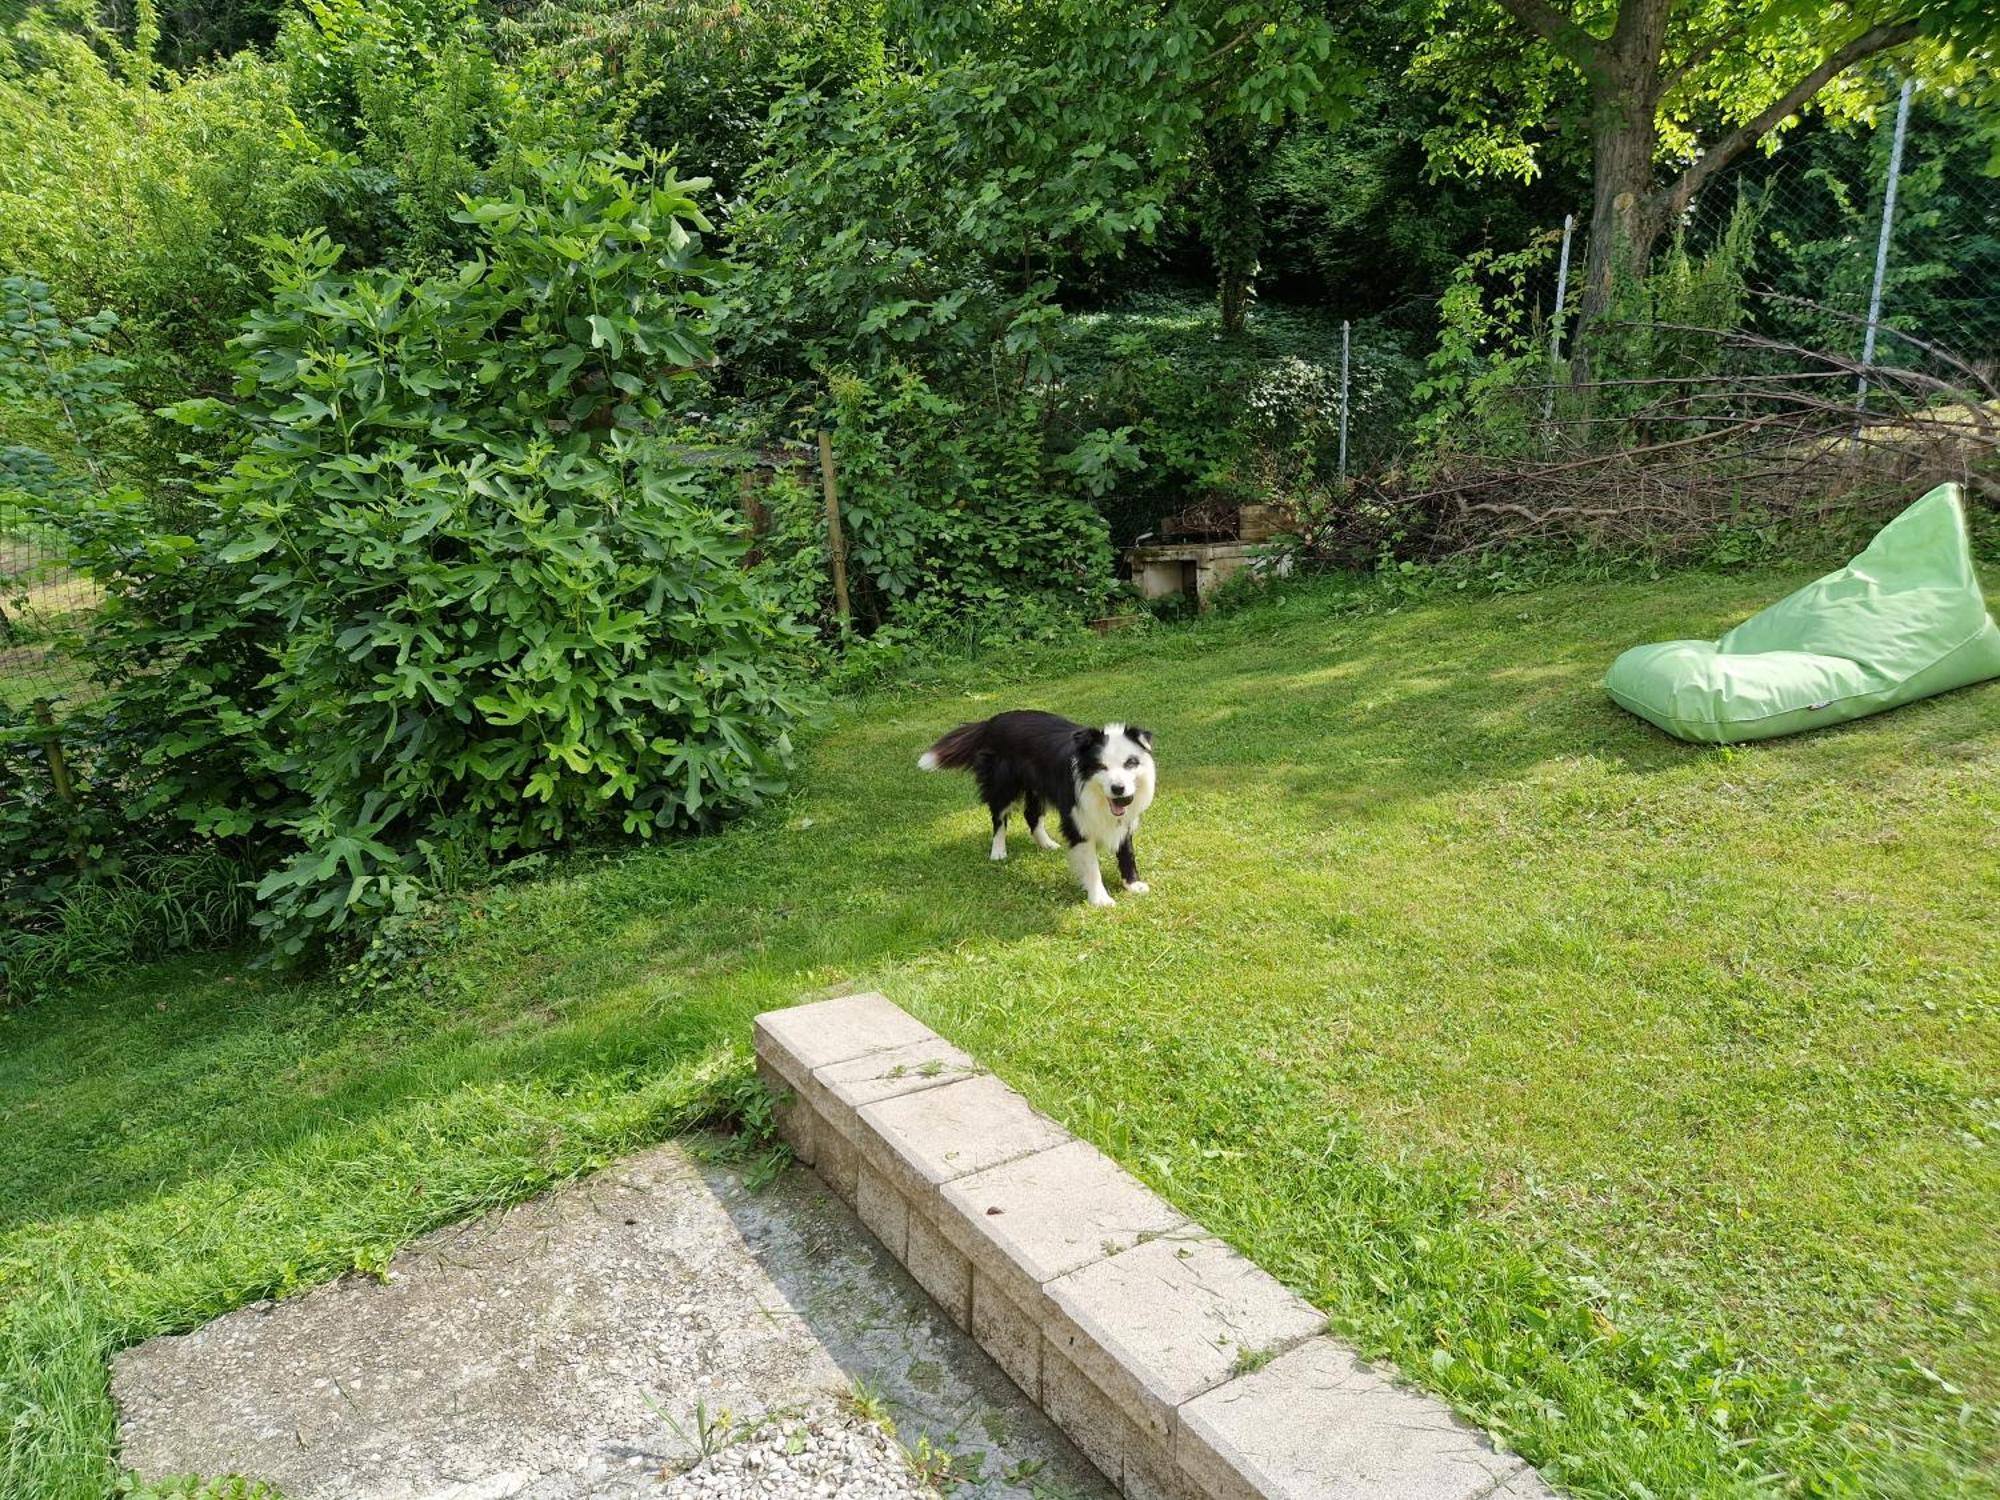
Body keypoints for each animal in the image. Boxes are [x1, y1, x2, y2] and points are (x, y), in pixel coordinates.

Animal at [920, 712, 1160, 912]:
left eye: (1131, 763)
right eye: (1101, 766)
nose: (1118, 788)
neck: (1097, 794)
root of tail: (992, 721)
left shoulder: (1124, 818)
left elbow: (1127, 851)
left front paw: (1133, 884)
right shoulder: (1076, 820)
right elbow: (1091, 864)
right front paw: (1099, 898)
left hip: (1036, 787)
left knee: (1031, 815)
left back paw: (1047, 844)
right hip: (1003, 785)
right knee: (999, 818)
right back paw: (998, 851)